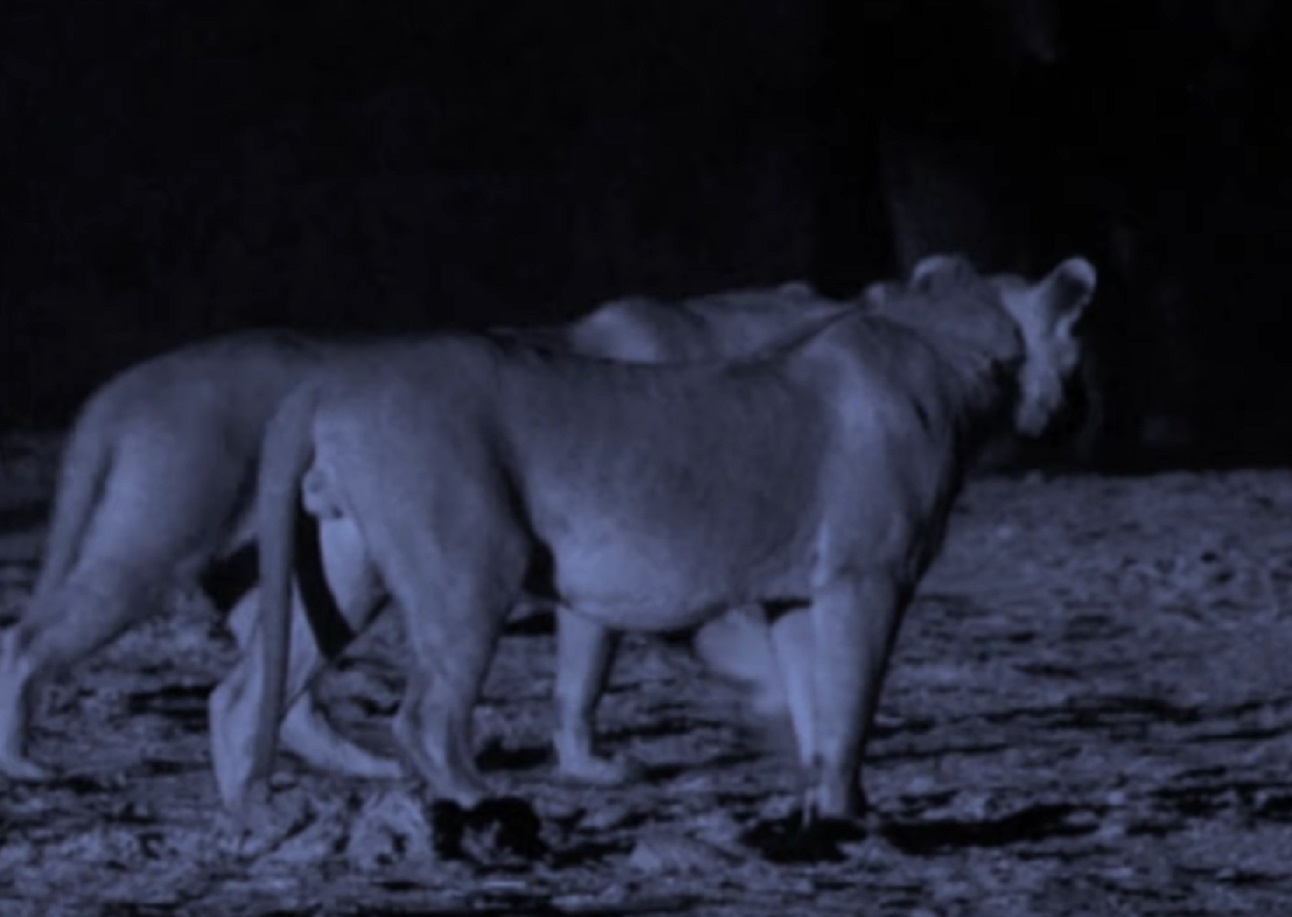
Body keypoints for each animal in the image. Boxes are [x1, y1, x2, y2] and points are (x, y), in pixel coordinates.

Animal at [0, 282, 854, 783]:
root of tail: (124, 385)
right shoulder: (647, 553)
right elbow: (610, 663)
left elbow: (591, 672)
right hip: (156, 532)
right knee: (29, 640)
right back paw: (21, 762)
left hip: (292, 567)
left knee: (276, 684)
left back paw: (356, 766)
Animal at [214, 254, 1096, 837]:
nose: (1076, 411)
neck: (951, 349)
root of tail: (327, 381)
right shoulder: (866, 578)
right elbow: (851, 703)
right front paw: (851, 817)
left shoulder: (795, 593)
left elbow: (813, 703)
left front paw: (820, 804)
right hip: (473, 561)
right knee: (427, 714)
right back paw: (489, 805)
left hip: (348, 565)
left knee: (243, 688)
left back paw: (248, 810)